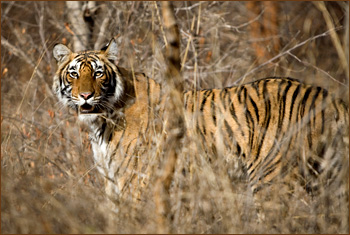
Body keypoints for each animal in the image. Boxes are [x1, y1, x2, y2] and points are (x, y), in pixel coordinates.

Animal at [52, 37, 348, 205]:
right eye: (74, 74)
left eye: (98, 73)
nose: (86, 95)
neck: (101, 123)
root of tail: (328, 96)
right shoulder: (111, 181)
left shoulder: (134, 181)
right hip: (326, 177)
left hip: (270, 177)